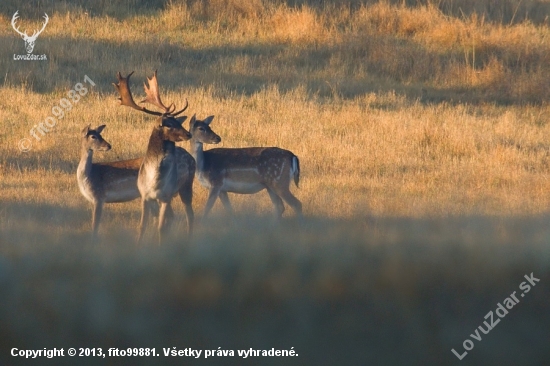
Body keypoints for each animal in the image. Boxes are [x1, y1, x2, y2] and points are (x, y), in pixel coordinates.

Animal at [112, 70, 196, 244]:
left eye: (178, 122)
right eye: (169, 125)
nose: (188, 134)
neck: (154, 180)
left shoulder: (166, 196)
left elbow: (161, 227)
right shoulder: (144, 196)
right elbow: (142, 226)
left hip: (186, 186)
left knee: (189, 217)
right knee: (173, 217)